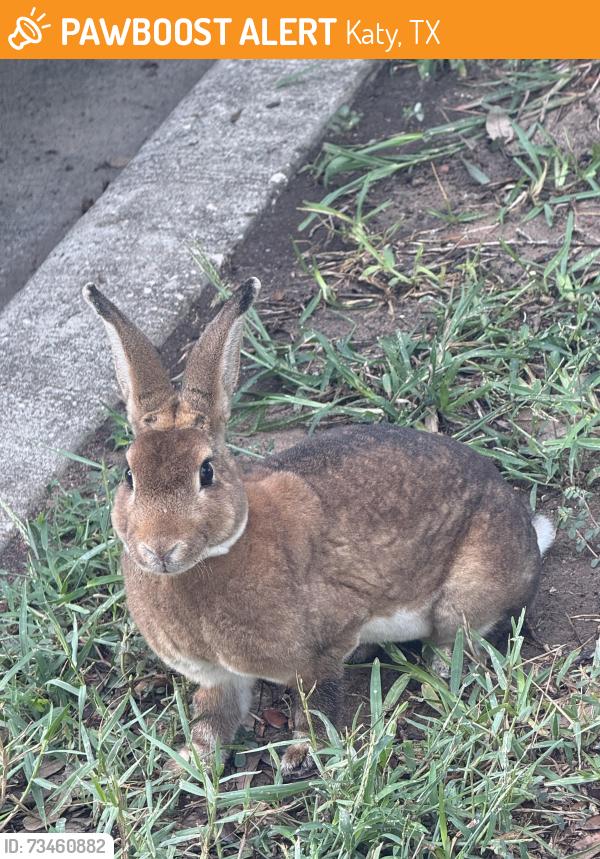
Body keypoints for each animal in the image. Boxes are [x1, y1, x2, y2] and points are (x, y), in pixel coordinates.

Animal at [83, 277, 555, 775]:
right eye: (129, 474)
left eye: (205, 472)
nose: (160, 548)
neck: (221, 551)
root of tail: (528, 537)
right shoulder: (217, 675)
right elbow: (214, 719)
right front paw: (189, 765)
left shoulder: (324, 647)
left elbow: (317, 705)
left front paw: (299, 755)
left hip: (464, 593)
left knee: (460, 639)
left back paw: (438, 673)